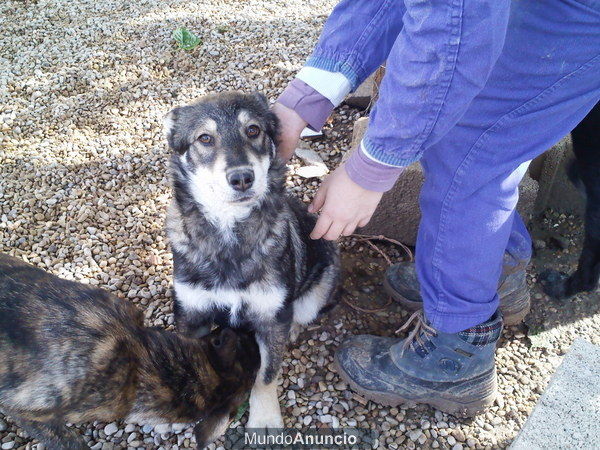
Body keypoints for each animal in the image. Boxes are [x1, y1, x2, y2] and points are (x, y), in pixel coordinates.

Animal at [164, 92, 340, 428]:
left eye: (253, 130)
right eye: (204, 138)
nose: (243, 177)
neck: (230, 234)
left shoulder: (270, 318)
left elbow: (266, 375)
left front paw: (265, 418)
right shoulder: (191, 313)